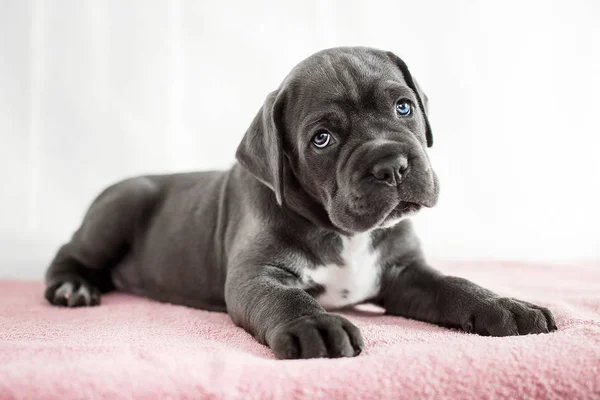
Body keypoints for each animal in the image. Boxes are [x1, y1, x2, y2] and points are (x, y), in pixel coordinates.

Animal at [44, 47, 556, 360]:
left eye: (404, 107)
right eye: (322, 139)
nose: (391, 165)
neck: (346, 233)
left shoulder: (406, 274)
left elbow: (456, 286)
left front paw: (505, 305)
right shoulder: (257, 275)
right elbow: (286, 298)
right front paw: (317, 327)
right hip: (122, 205)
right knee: (70, 252)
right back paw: (73, 287)